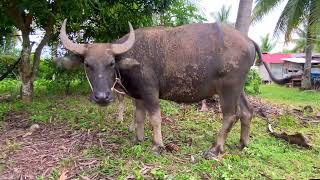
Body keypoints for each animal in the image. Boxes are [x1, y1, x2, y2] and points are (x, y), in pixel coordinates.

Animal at [57, 19, 290, 158]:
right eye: (88, 64)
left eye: (111, 63)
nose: (102, 97)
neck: (131, 57)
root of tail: (248, 40)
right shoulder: (137, 95)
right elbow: (138, 117)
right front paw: (138, 139)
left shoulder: (150, 92)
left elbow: (155, 118)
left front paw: (157, 145)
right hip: (238, 88)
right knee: (247, 112)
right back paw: (243, 144)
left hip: (228, 88)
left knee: (231, 115)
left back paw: (215, 149)